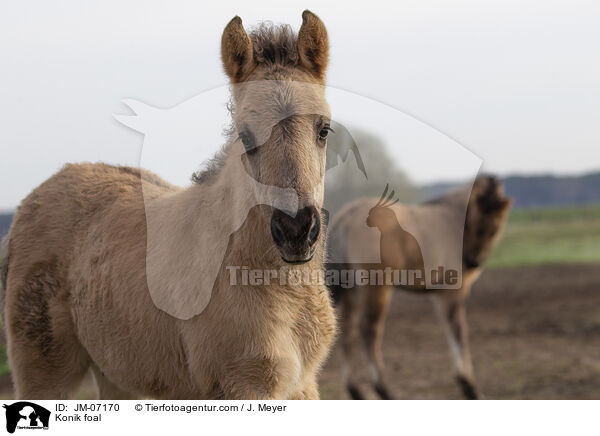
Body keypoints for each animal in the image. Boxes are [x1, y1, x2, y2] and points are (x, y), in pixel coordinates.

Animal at [328, 176, 510, 398]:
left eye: (495, 230)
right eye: (480, 227)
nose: (474, 262)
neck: (454, 222)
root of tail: (345, 218)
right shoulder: (453, 291)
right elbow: (459, 331)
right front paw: (470, 387)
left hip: (352, 291)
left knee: (347, 330)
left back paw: (356, 391)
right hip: (376, 287)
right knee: (368, 331)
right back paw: (385, 390)